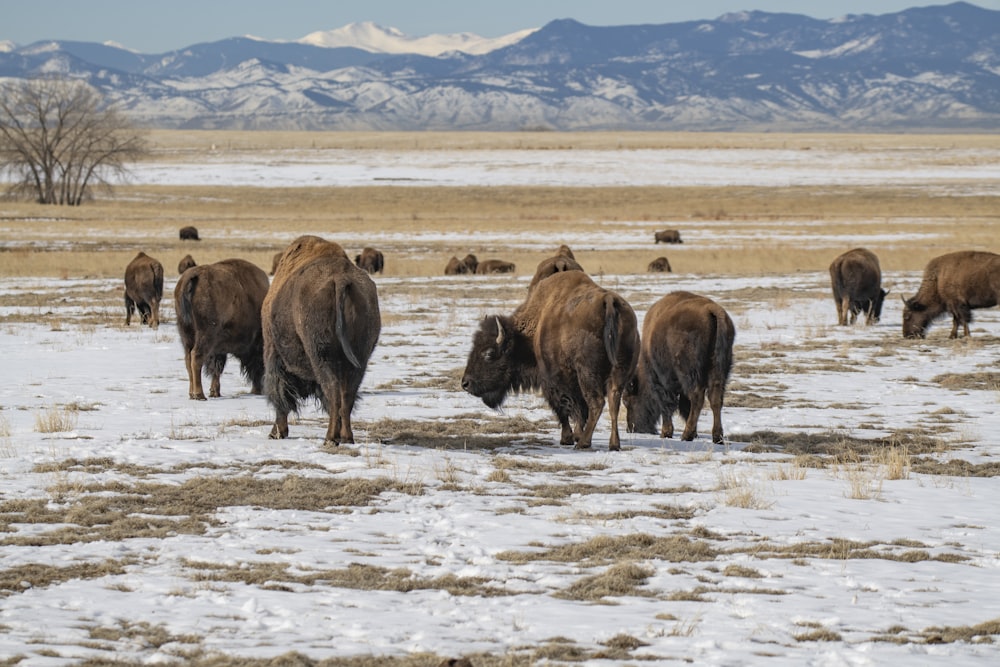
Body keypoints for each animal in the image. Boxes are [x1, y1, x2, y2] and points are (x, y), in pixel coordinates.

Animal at [174, 258, 270, 400]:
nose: (258, 390)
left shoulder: (218, 349)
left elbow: (216, 369)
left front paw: (215, 392)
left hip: (186, 336)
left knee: (188, 360)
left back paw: (192, 394)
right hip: (205, 335)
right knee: (196, 357)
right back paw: (200, 395)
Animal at [260, 235, 380, 448]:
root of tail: (341, 278)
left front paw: (277, 432)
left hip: (321, 355)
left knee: (333, 391)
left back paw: (330, 438)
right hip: (359, 359)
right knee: (346, 395)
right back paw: (346, 437)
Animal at [462, 268, 640, 452]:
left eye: (489, 353)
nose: (465, 383)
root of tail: (609, 301)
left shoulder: (552, 381)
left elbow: (565, 409)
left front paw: (568, 438)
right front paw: (575, 435)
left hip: (588, 374)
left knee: (597, 403)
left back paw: (584, 443)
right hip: (620, 372)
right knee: (613, 401)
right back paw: (613, 444)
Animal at [624, 290, 736, 444]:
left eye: (626, 400)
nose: (631, 428)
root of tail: (712, 310)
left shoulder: (660, 379)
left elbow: (667, 404)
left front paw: (666, 433)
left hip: (689, 372)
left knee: (697, 397)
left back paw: (686, 435)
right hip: (719, 371)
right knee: (715, 399)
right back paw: (717, 437)